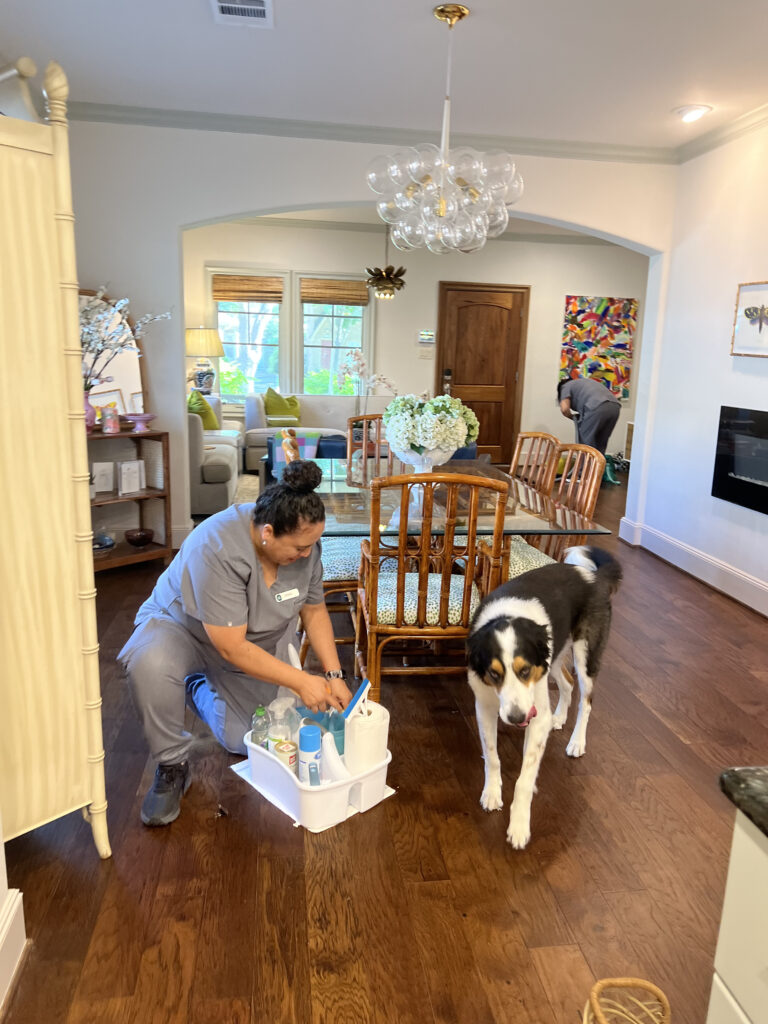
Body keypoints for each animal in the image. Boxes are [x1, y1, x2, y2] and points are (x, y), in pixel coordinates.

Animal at [466, 544, 622, 847]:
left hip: (585, 655)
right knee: (568, 684)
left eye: (524, 670)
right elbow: (491, 755)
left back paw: (576, 742)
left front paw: (519, 825)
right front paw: (492, 792)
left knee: (586, 700)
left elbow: (525, 778)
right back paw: (558, 718)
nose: (516, 718)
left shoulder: (533, 708)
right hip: (555, 655)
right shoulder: (485, 707)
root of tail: (593, 577)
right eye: (494, 674)